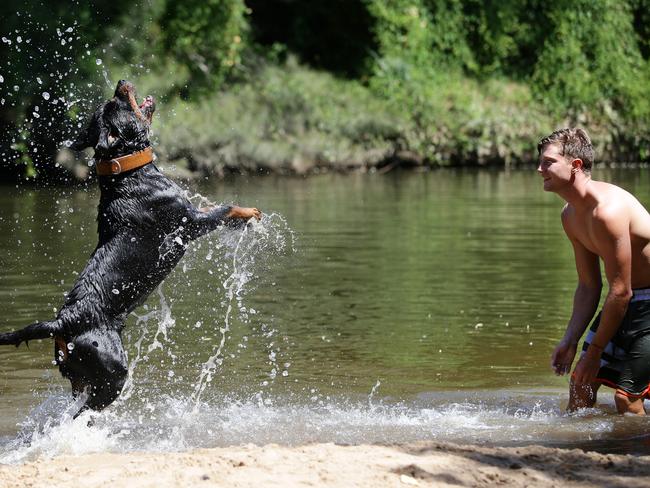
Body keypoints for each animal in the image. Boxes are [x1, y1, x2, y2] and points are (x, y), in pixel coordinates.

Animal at [0, 79, 258, 416]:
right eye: (116, 104)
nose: (121, 83)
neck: (128, 172)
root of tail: (64, 322)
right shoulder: (189, 223)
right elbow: (225, 209)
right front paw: (250, 213)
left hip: (78, 377)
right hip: (112, 374)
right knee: (84, 413)